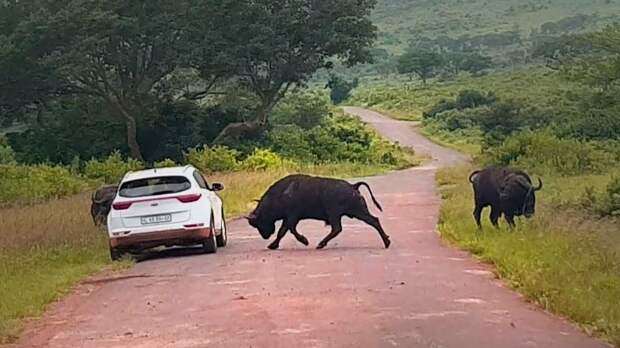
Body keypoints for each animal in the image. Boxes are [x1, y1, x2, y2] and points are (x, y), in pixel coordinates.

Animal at [246, 175, 388, 249]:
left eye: (258, 222)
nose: (265, 236)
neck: (281, 193)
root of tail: (353, 186)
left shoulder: (291, 217)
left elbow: (286, 231)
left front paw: (303, 241)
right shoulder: (290, 218)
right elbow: (286, 231)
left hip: (342, 214)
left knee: (338, 228)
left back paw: (320, 244)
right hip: (357, 213)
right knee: (374, 221)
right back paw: (387, 242)